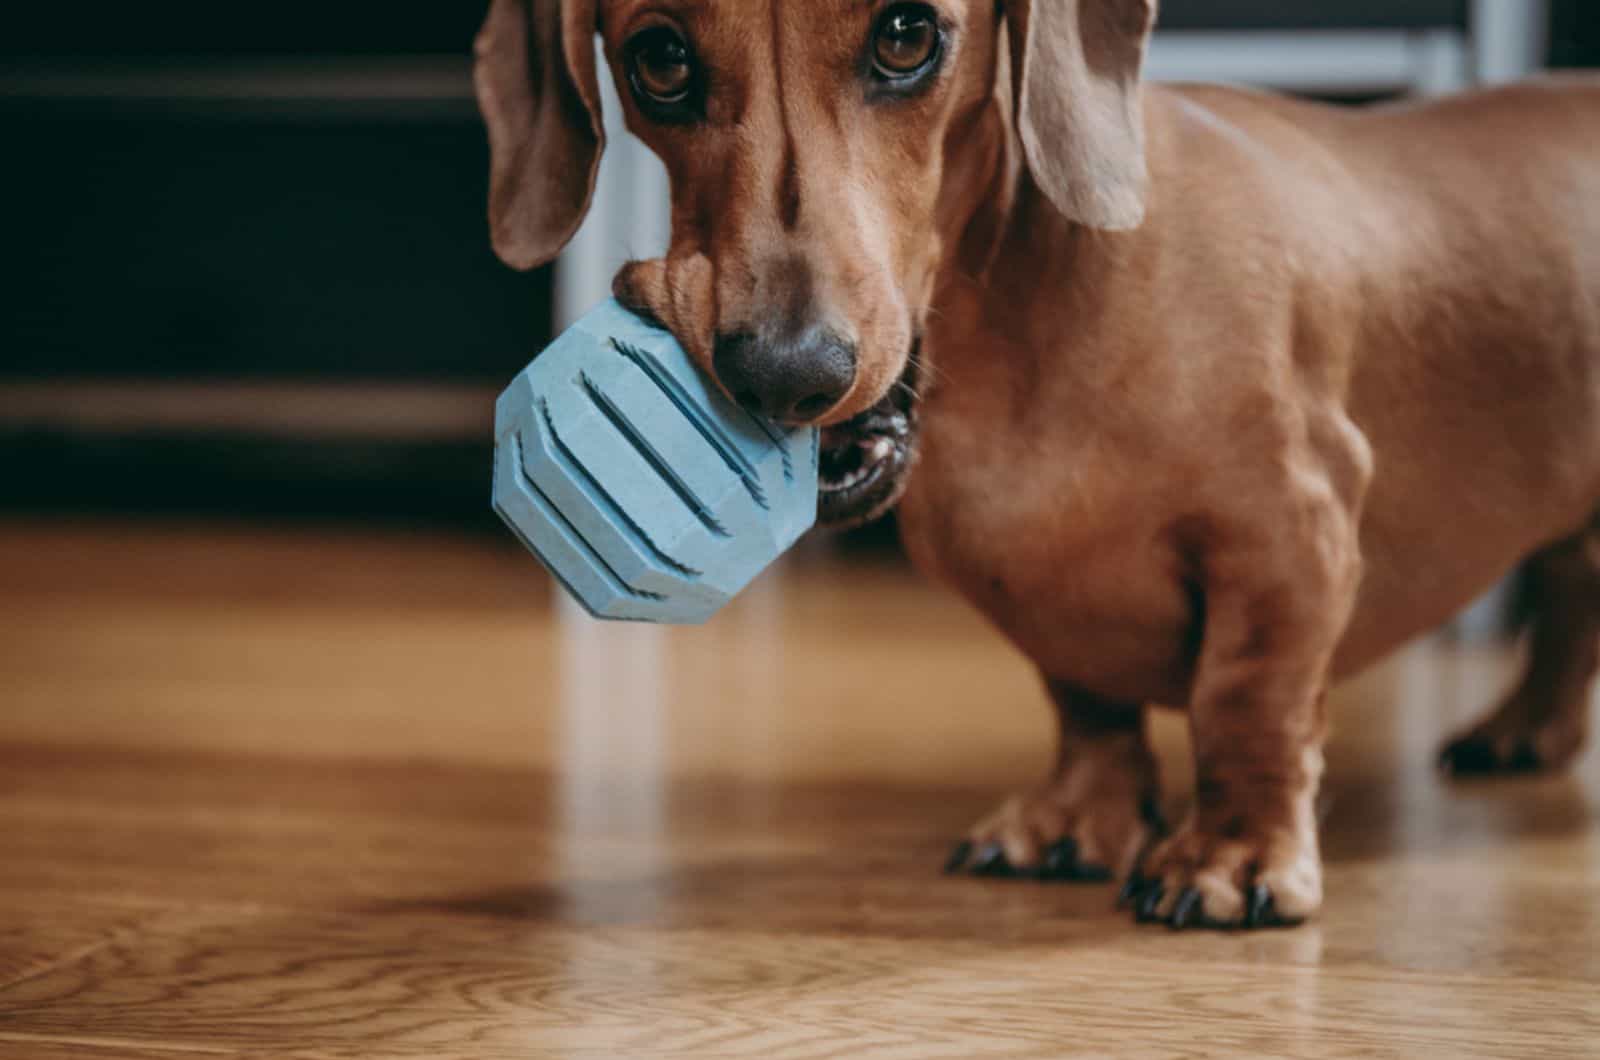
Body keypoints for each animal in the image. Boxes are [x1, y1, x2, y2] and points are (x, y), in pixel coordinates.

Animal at [473, 0, 1600, 928]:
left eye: (906, 35)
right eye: (659, 57)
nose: (785, 375)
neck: (1022, 330)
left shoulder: (1291, 539)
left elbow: (1247, 704)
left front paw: (1234, 858)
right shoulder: (1042, 591)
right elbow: (1087, 704)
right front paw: (1075, 821)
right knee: (1567, 594)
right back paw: (1521, 732)